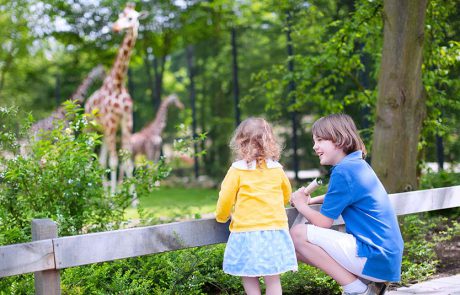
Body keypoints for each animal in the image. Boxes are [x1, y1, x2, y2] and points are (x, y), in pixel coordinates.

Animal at [83, 3, 146, 195]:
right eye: (119, 16)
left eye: (131, 18)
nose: (115, 27)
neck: (117, 83)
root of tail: (87, 103)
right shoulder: (111, 122)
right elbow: (114, 161)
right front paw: (114, 197)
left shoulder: (126, 122)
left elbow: (127, 160)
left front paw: (132, 198)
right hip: (90, 128)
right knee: (87, 156)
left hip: (103, 132)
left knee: (101, 160)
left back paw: (103, 195)